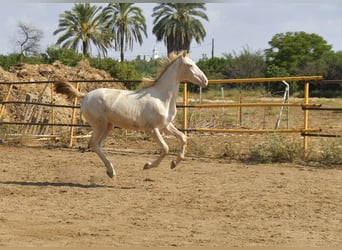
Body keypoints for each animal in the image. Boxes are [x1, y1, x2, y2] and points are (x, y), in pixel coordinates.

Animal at [54, 50, 208, 178]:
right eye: (190, 65)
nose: (205, 81)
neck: (162, 97)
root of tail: (85, 96)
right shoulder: (152, 128)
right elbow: (165, 148)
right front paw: (147, 165)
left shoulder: (165, 125)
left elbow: (183, 137)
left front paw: (174, 163)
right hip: (100, 125)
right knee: (93, 144)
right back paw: (111, 171)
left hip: (108, 126)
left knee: (98, 145)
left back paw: (111, 171)